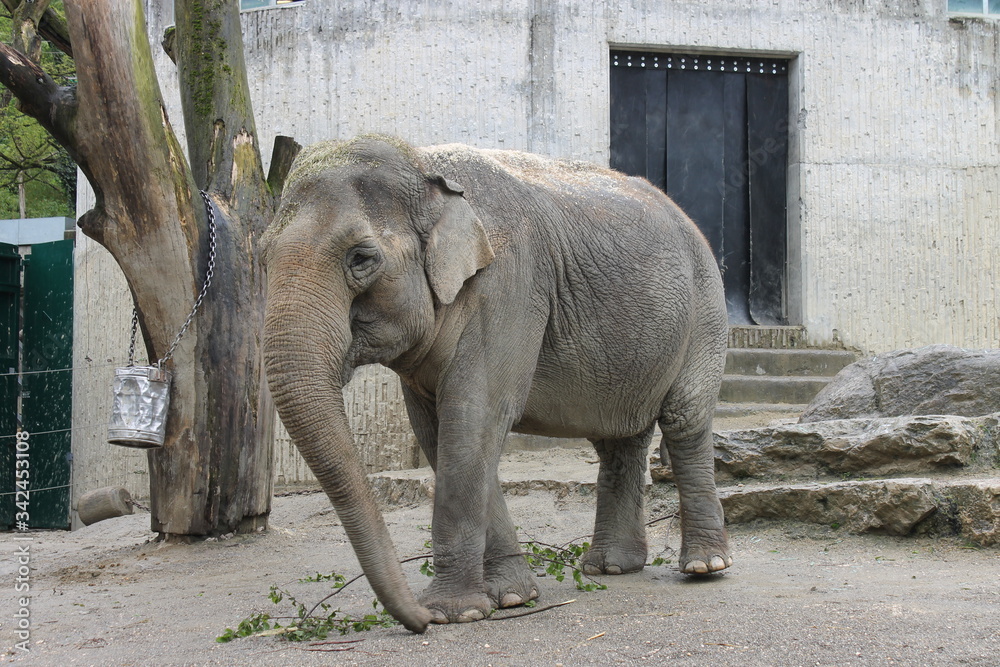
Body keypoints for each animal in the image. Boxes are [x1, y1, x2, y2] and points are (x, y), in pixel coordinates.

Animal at [262, 135, 731, 633]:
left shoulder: (508, 287)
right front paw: (510, 598)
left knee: (683, 419)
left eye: (361, 258)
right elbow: (439, 434)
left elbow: (472, 420)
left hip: (706, 308)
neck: (424, 163)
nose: (417, 620)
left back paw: (704, 567)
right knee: (618, 439)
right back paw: (610, 567)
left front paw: (452, 613)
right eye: (262, 255)